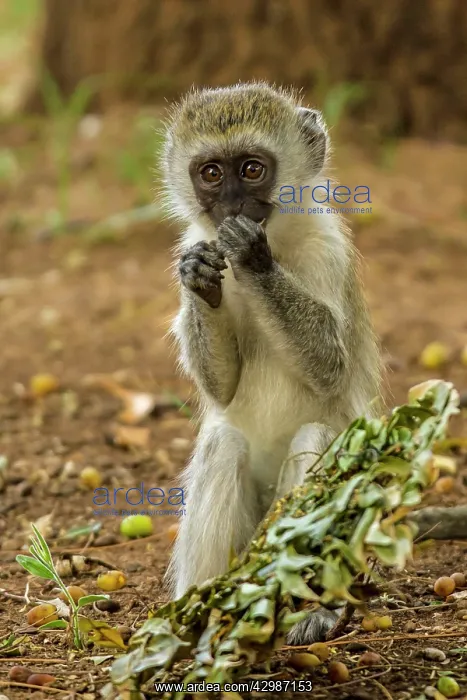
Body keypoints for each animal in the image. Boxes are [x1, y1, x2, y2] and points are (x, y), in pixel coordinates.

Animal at [161, 82, 382, 644]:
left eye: (252, 169)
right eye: (211, 173)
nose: (233, 206)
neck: (279, 238)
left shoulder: (327, 250)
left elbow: (331, 362)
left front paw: (251, 257)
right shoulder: (194, 240)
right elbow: (221, 388)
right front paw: (201, 276)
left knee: (315, 439)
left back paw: (313, 609)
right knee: (222, 444)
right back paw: (200, 615)